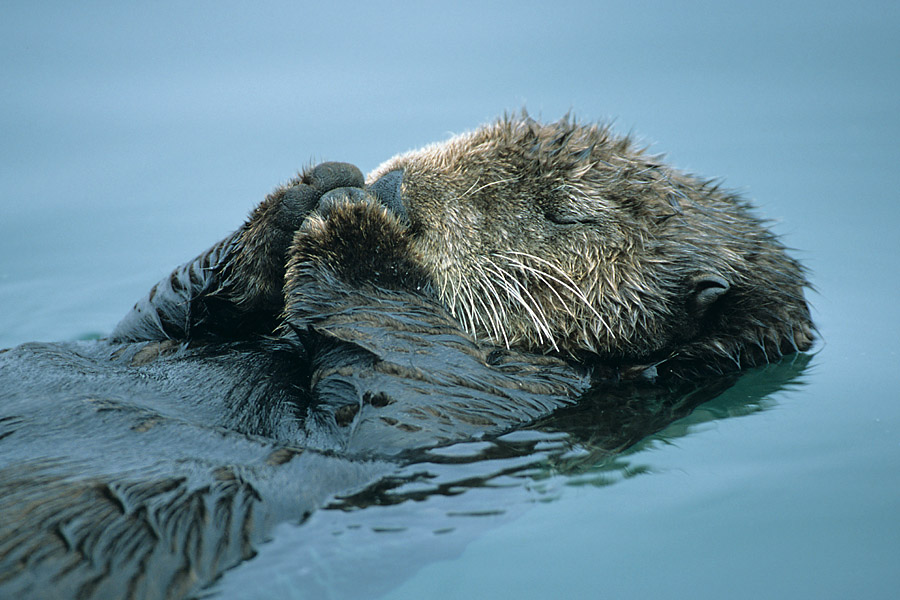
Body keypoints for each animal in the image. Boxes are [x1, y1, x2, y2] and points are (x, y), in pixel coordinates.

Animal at [0, 115, 816, 596]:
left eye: (566, 214)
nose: (394, 186)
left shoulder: (498, 400)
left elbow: (395, 383)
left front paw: (358, 228)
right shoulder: (155, 334)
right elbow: (156, 322)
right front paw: (318, 186)